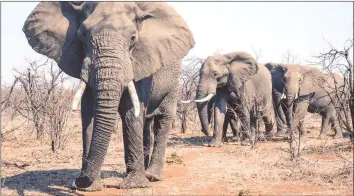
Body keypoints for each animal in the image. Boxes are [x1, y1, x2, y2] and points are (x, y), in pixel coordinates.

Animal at [22, 1, 194, 191]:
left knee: (162, 120)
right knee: (146, 123)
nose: (75, 183)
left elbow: (130, 112)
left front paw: (134, 186)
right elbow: (89, 112)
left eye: (133, 38)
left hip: (173, 82)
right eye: (82, 35)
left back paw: (152, 176)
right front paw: (90, 187)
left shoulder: (140, 62)